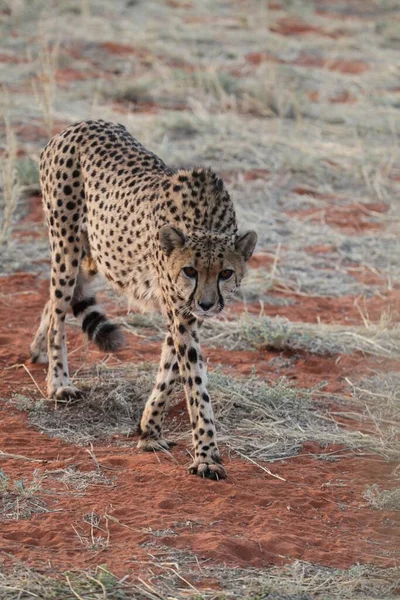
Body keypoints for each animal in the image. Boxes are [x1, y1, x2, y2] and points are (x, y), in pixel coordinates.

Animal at [30, 119, 256, 480]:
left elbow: (170, 370)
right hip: (66, 244)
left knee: (55, 302)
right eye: (190, 270)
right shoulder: (181, 312)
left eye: (225, 273)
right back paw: (59, 381)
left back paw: (37, 349)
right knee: (59, 309)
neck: (204, 221)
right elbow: (195, 384)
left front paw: (149, 430)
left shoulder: (183, 313)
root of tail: (77, 125)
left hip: (97, 253)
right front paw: (206, 456)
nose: (207, 304)